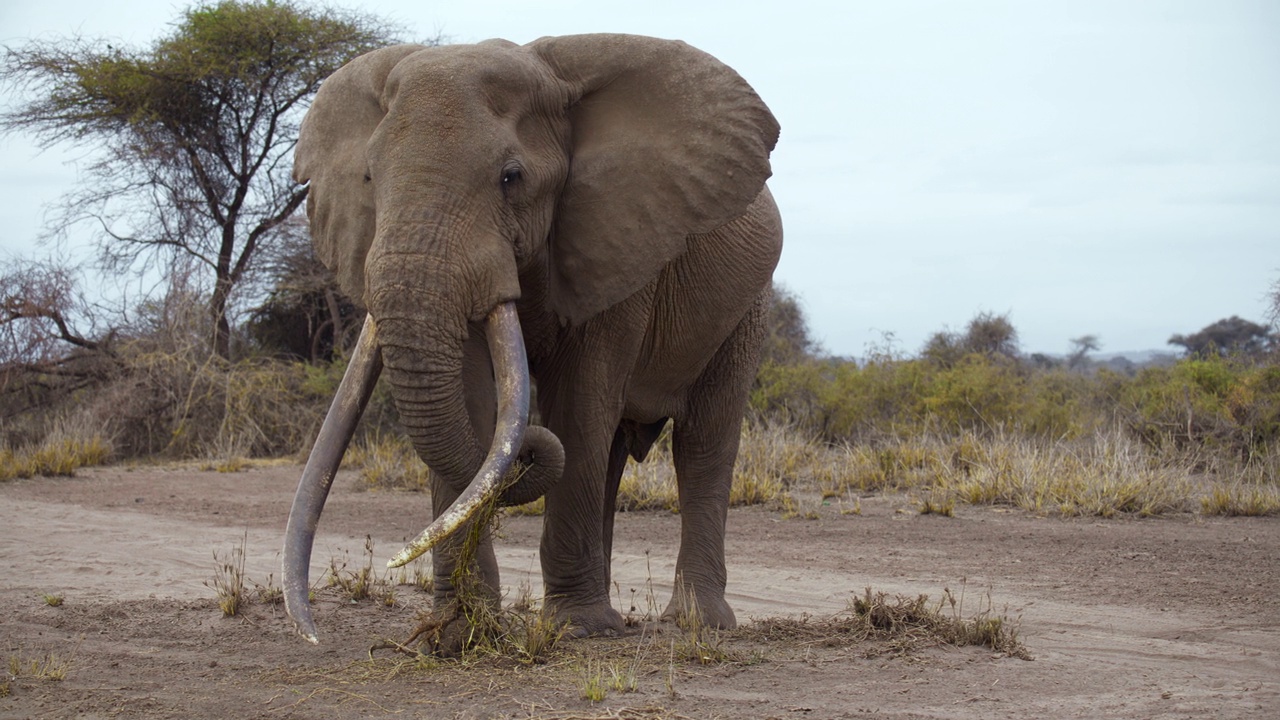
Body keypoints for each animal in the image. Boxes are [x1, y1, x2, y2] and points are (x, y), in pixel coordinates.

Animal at [282, 33, 778, 648]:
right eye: (369, 178)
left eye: (510, 177)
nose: (314, 636)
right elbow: (475, 398)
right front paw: (456, 636)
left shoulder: (617, 245)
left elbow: (580, 403)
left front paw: (575, 629)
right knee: (613, 454)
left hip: (747, 308)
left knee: (703, 443)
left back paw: (694, 622)